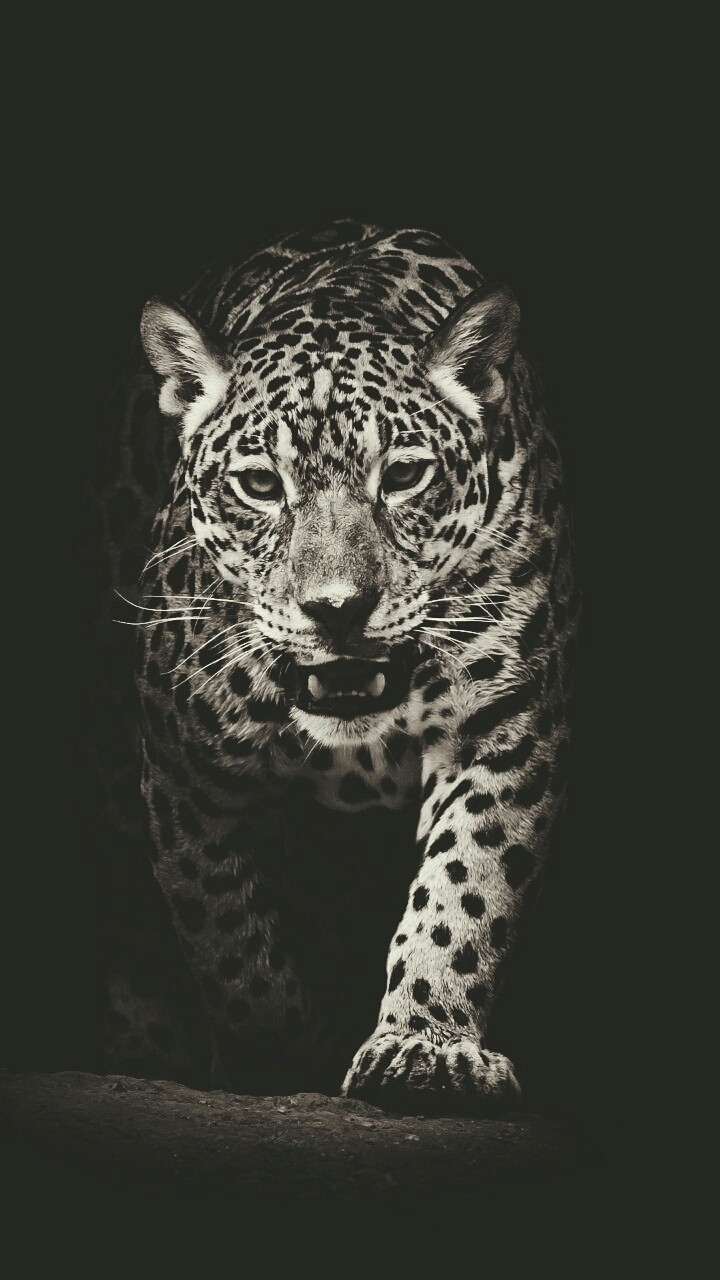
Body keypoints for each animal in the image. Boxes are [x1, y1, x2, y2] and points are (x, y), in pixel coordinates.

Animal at [89, 218, 577, 1114]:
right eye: (258, 485)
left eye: (406, 474)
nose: (339, 609)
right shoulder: (188, 769)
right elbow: (230, 938)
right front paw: (280, 1057)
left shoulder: (505, 728)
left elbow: (466, 889)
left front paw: (426, 1047)